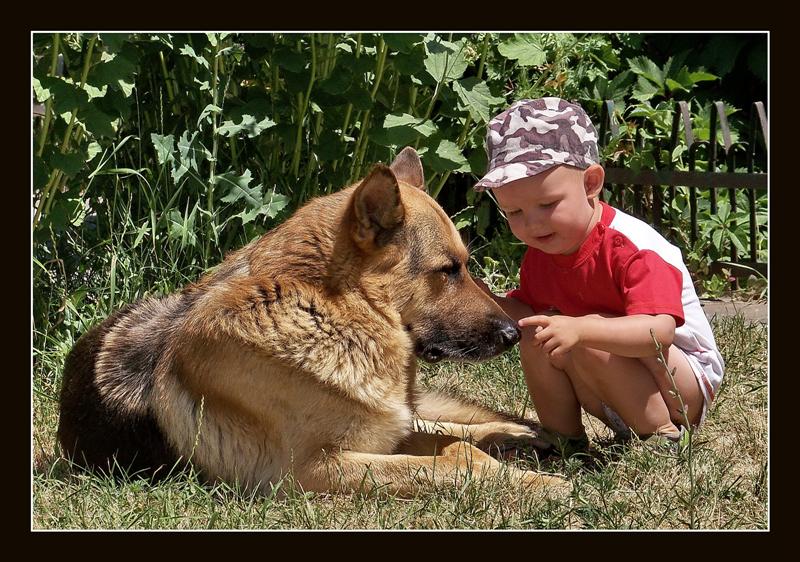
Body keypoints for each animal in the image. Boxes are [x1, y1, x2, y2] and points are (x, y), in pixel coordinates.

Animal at [57, 147, 568, 497]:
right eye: (449, 270)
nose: (514, 334)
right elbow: (448, 463)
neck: (331, 312)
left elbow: (453, 446)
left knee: (439, 423)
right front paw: (542, 486)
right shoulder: (316, 468)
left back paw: (517, 433)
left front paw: (519, 464)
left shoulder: (378, 435)